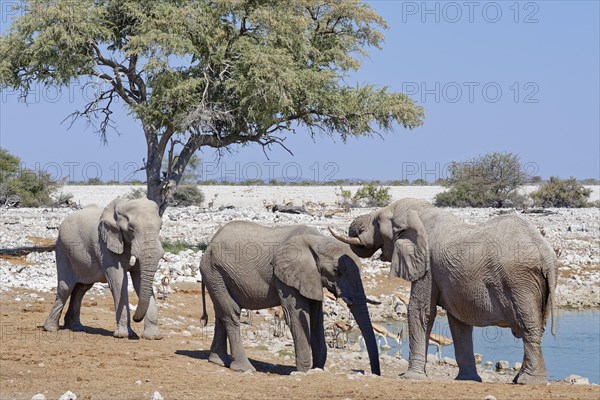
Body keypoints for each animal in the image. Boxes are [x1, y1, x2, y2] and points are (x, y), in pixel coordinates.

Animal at [42, 196, 165, 338]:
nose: (136, 319)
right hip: (63, 249)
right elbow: (118, 281)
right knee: (65, 287)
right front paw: (124, 335)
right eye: (131, 229)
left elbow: (140, 281)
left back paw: (75, 327)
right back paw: (50, 328)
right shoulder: (104, 245)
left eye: (160, 227)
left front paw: (153, 337)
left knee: (81, 288)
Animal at [200, 222, 380, 376]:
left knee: (221, 313)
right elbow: (296, 315)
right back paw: (245, 368)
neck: (318, 239)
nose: (373, 373)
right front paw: (304, 372)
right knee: (231, 313)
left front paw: (317, 369)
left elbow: (316, 317)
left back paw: (218, 360)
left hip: (217, 276)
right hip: (215, 271)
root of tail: (210, 243)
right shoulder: (285, 276)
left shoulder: (311, 278)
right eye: (337, 270)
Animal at [330, 199, 556, 384]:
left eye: (377, 222)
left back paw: (528, 381)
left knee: (528, 326)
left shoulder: (427, 267)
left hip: (520, 282)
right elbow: (459, 323)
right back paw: (520, 379)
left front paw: (411, 377)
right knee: (536, 326)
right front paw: (467, 380)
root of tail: (547, 255)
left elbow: (420, 311)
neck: (421, 214)